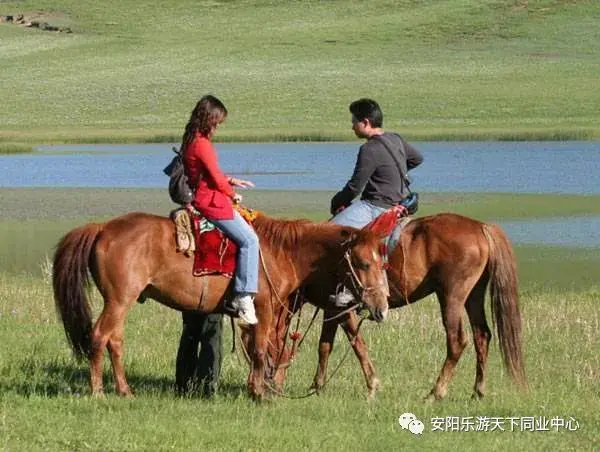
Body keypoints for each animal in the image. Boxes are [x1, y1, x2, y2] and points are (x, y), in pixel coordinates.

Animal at [51, 211, 390, 400]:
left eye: (382, 262)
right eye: (362, 262)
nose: (381, 307)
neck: (281, 251)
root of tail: (102, 228)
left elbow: (260, 350)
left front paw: (257, 388)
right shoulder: (264, 308)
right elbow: (260, 349)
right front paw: (259, 393)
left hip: (121, 302)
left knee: (115, 341)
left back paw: (124, 390)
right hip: (119, 300)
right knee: (99, 336)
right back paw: (98, 391)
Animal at [298, 214, 528, 400]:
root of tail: (481, 227)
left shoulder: (340, 309)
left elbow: (356, 344)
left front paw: (372, 386)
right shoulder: (332, 308)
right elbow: (325, 346)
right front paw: (316, 387)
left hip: (451, 298)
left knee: (457, 341)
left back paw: (436, 393)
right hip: (473, 296)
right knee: (482, 336)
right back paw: (477, 392)